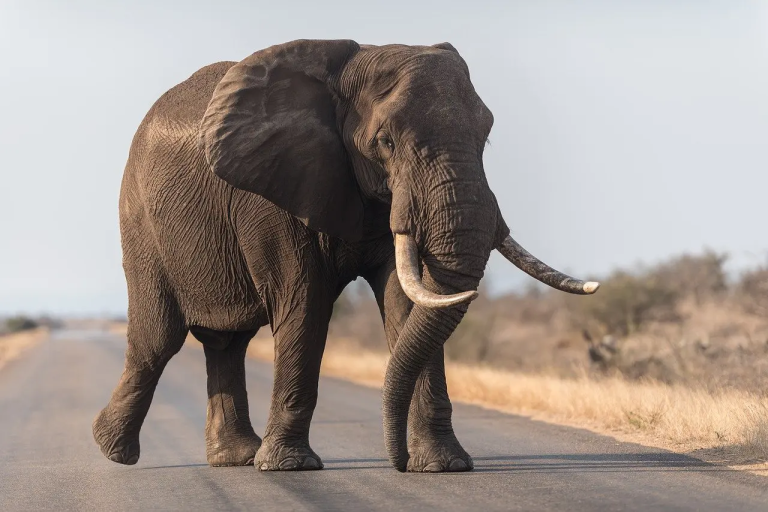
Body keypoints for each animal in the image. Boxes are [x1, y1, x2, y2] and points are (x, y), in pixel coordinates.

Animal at [93, 39, 599, 473]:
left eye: (486, 137)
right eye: (386, 142)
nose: (396, 461)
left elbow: (407, 302)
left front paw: (444, 466)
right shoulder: (271, 191)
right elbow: (305, 304)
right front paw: (290, 467)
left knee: (227, 342)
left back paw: (234, 458)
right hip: (140, 223)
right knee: (158, 339)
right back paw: (113, 449)